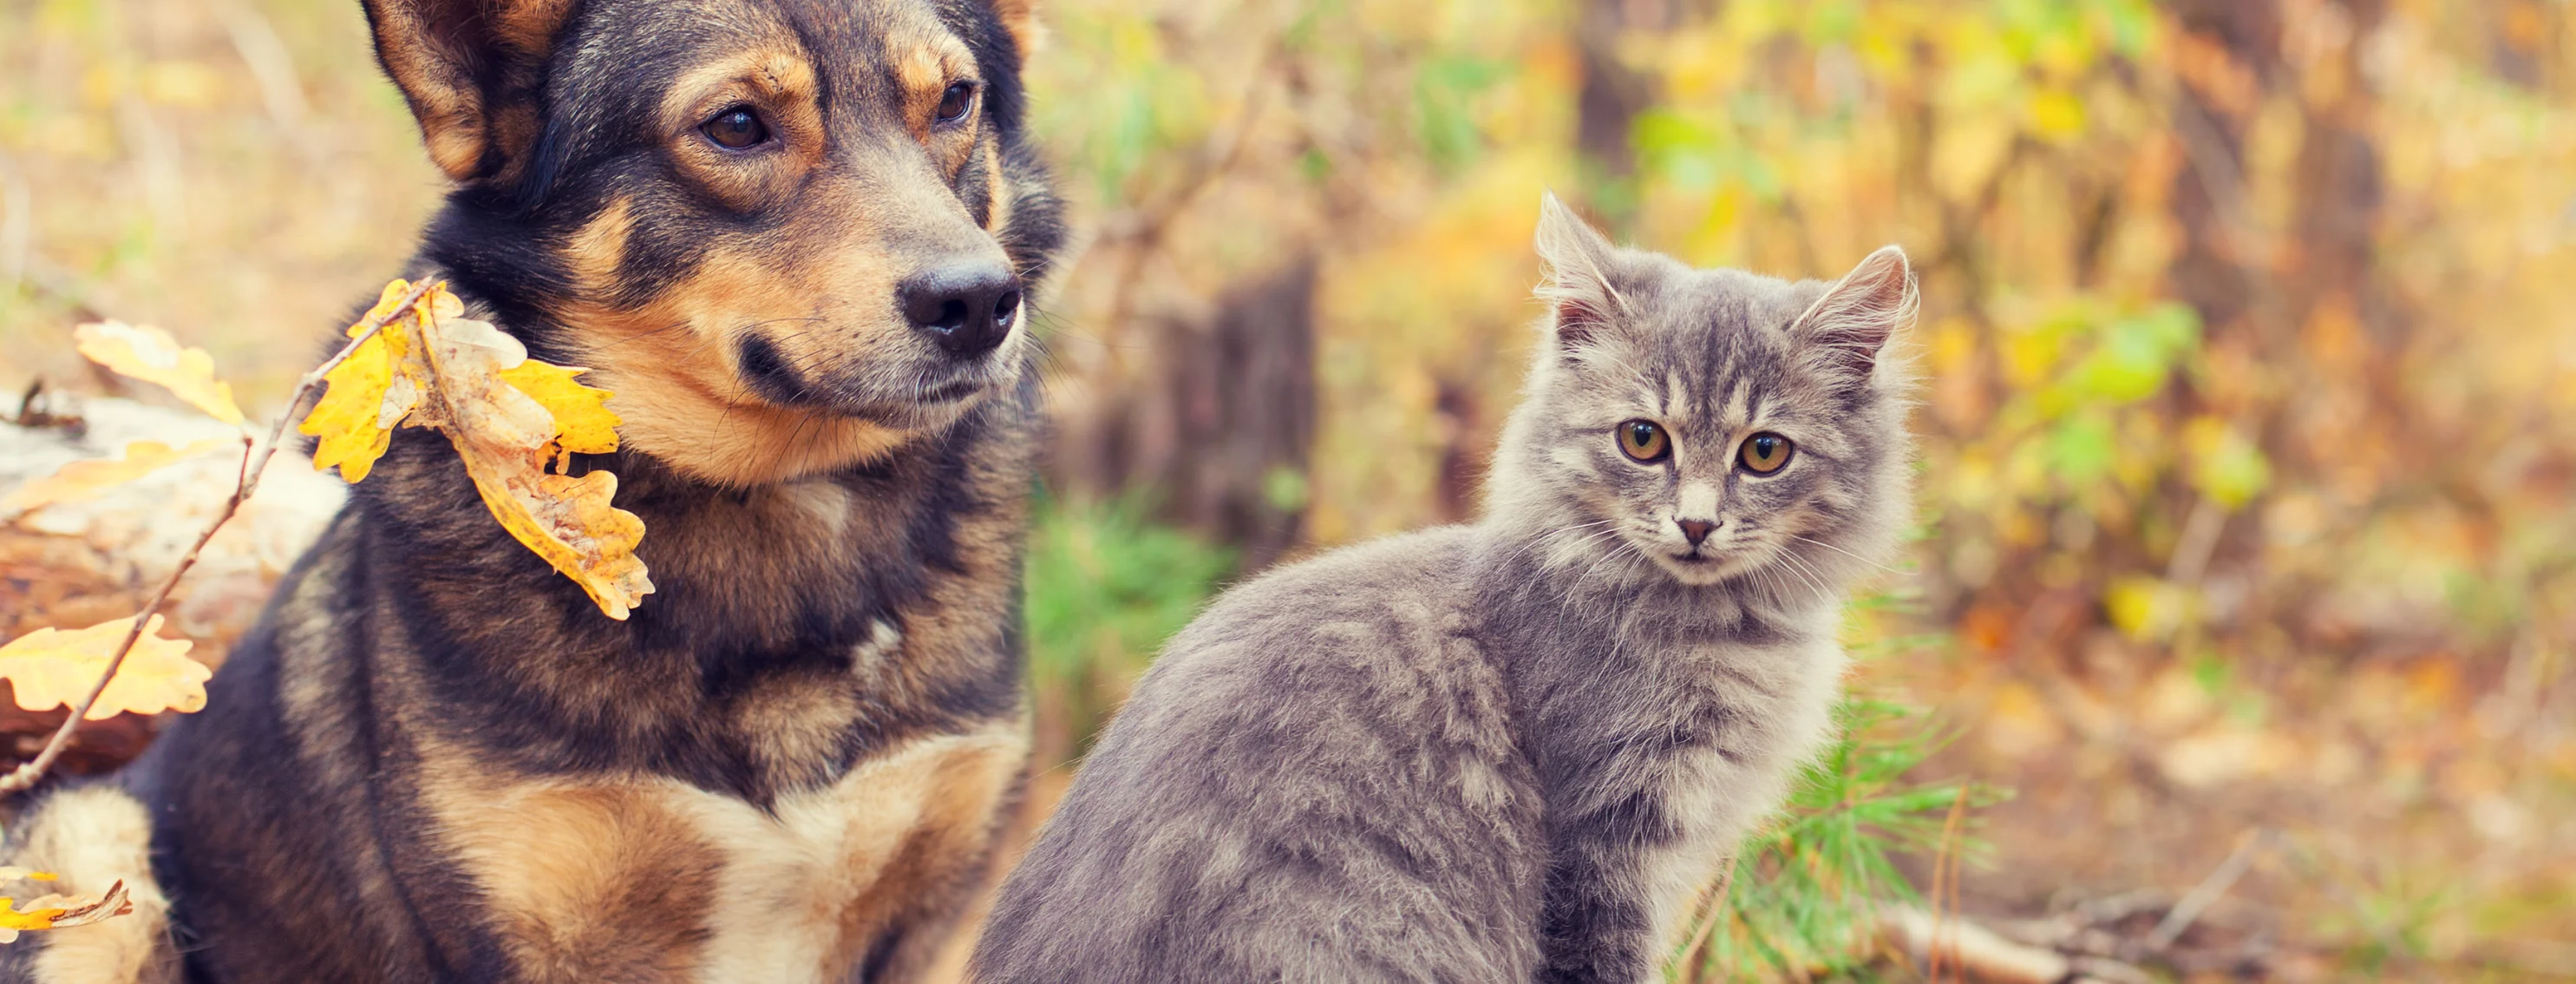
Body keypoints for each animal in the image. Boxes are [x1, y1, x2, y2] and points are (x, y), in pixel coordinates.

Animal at [0, 0, 1061, 979]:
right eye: (736, 125)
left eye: (955, 101)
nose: (978, 302)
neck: (785, 498)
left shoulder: (928, 909)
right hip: (89, 851)